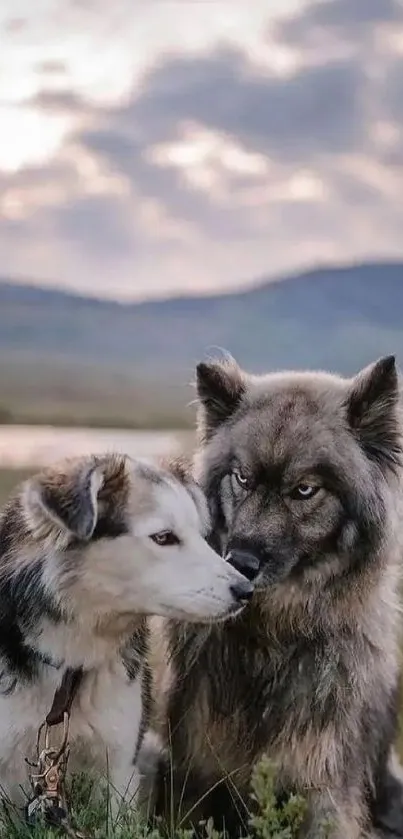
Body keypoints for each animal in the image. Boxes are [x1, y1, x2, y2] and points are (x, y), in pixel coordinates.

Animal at [154, 356, 403, 839]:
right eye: (242, 478)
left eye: (304, 489)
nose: (240, 560)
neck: (272, 637)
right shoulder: (194, 775)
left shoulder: (325, 789)